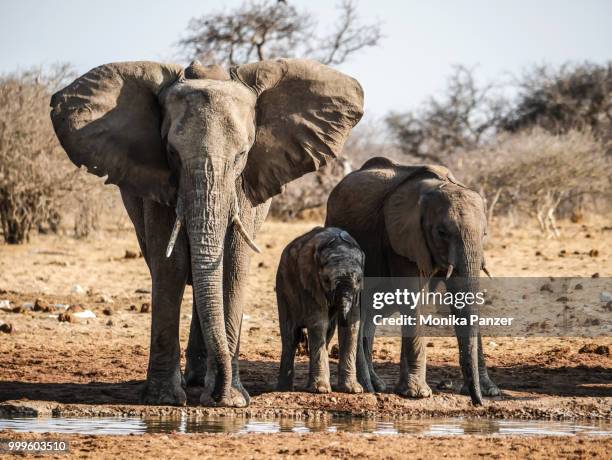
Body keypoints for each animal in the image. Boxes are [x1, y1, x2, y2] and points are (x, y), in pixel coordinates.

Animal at [276, 226, 364, 392]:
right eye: (326, 280)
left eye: (359, 280)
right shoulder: (310, 283)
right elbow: (318, 323)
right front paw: (321, 390)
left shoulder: (358, 292)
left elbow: (351, 326)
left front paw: (353, 390)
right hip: (283, 288)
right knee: (291, 336)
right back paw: (284, 389)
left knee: (327, 333)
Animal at [326, 156, 498, 404]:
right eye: (442, 232)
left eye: (484, 234)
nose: (478, 404)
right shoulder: (401, 241)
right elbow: (412, 299)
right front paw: (418, 394)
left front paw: (490, 391)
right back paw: (367, 386)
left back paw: (377, 385)